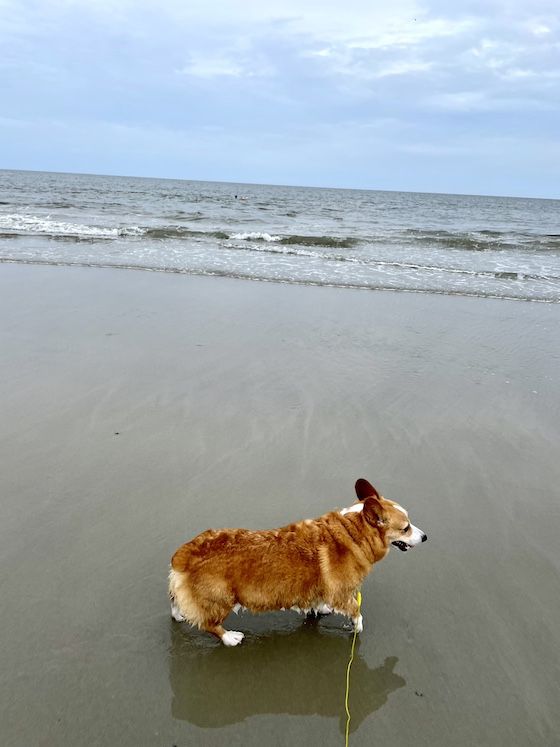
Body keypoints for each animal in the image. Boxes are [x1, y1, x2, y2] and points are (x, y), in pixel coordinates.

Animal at [168, 482, 426, 644]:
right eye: (406, 528)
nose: (425, 537)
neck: (353, 533)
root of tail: (185, 554)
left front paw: (321, 609)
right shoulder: (343, 594)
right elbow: (356, 611)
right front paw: (356, 627)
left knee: (176, 604)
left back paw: (180, 615)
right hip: (223, 599)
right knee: (209, 624)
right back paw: (230, 638)